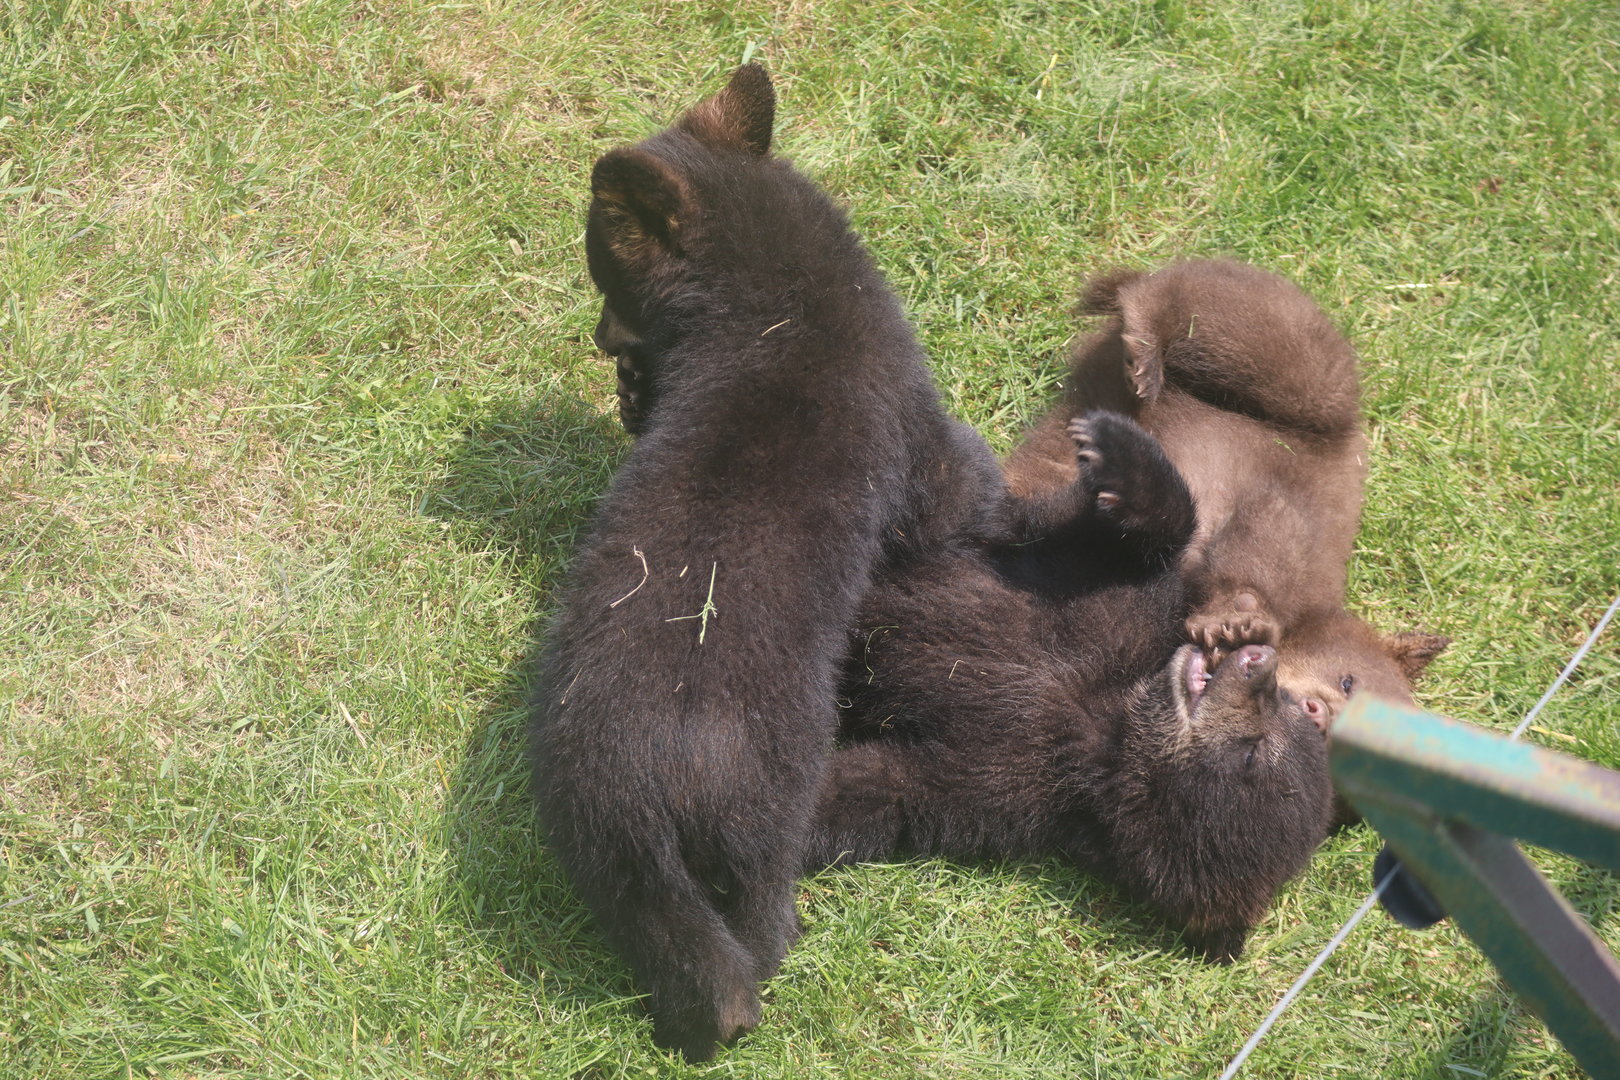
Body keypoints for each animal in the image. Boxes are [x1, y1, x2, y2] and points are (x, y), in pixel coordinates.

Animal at [528, 64, 1018, 1061]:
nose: (602, 344)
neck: (770, 301)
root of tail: (652, 783)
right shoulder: (914, 433)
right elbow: (957, 487)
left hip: (603, 843)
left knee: (673, 943)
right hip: (767, 806)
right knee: (753, 923)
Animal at [809, 412, 1336, 962]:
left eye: (1253, 753)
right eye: (1286, 705)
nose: (1261, 663)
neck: (1111, 717)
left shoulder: (1008, 782)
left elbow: (876, 786)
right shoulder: (1112, 608)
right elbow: (1118, 541)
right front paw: (1117, 453)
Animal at [1002, 259, 1448, 730]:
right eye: (1348, 681)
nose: (1317, 713)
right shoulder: (1293, 512)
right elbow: (1260, 547)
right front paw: (1238, 621)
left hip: (1064, 436)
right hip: (1310, 402)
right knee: (1258, 335)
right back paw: (1145, 347)